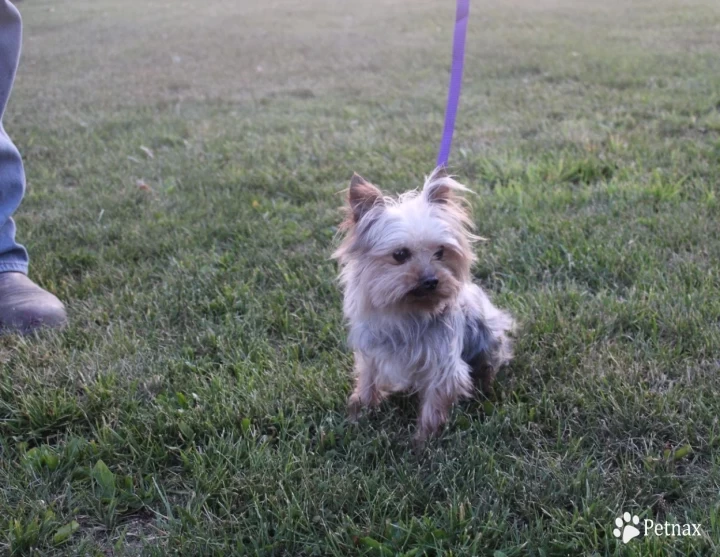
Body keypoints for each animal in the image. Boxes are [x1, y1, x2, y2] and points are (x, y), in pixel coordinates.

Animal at [334, 167, 516, 440]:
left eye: (440, 252)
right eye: (400, 255)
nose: (431, 280)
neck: (407, 312)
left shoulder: (443, 363)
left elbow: (433, 407)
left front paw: (422, 442)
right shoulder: (372, 353)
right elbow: (368, 381)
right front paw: (359, 415)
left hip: (489, 336)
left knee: (488, 364)